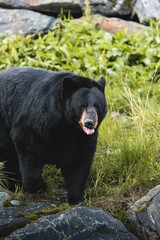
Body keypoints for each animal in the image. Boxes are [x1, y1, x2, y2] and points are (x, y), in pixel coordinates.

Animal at [0, 66, 107, 203]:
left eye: (98, 106)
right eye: (82, 105)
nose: (89, 123)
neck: (67, 126)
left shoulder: (82, 138)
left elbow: (78, 162)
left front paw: (76, 197)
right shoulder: (37, 124)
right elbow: (29, 152)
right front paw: (41, 186)